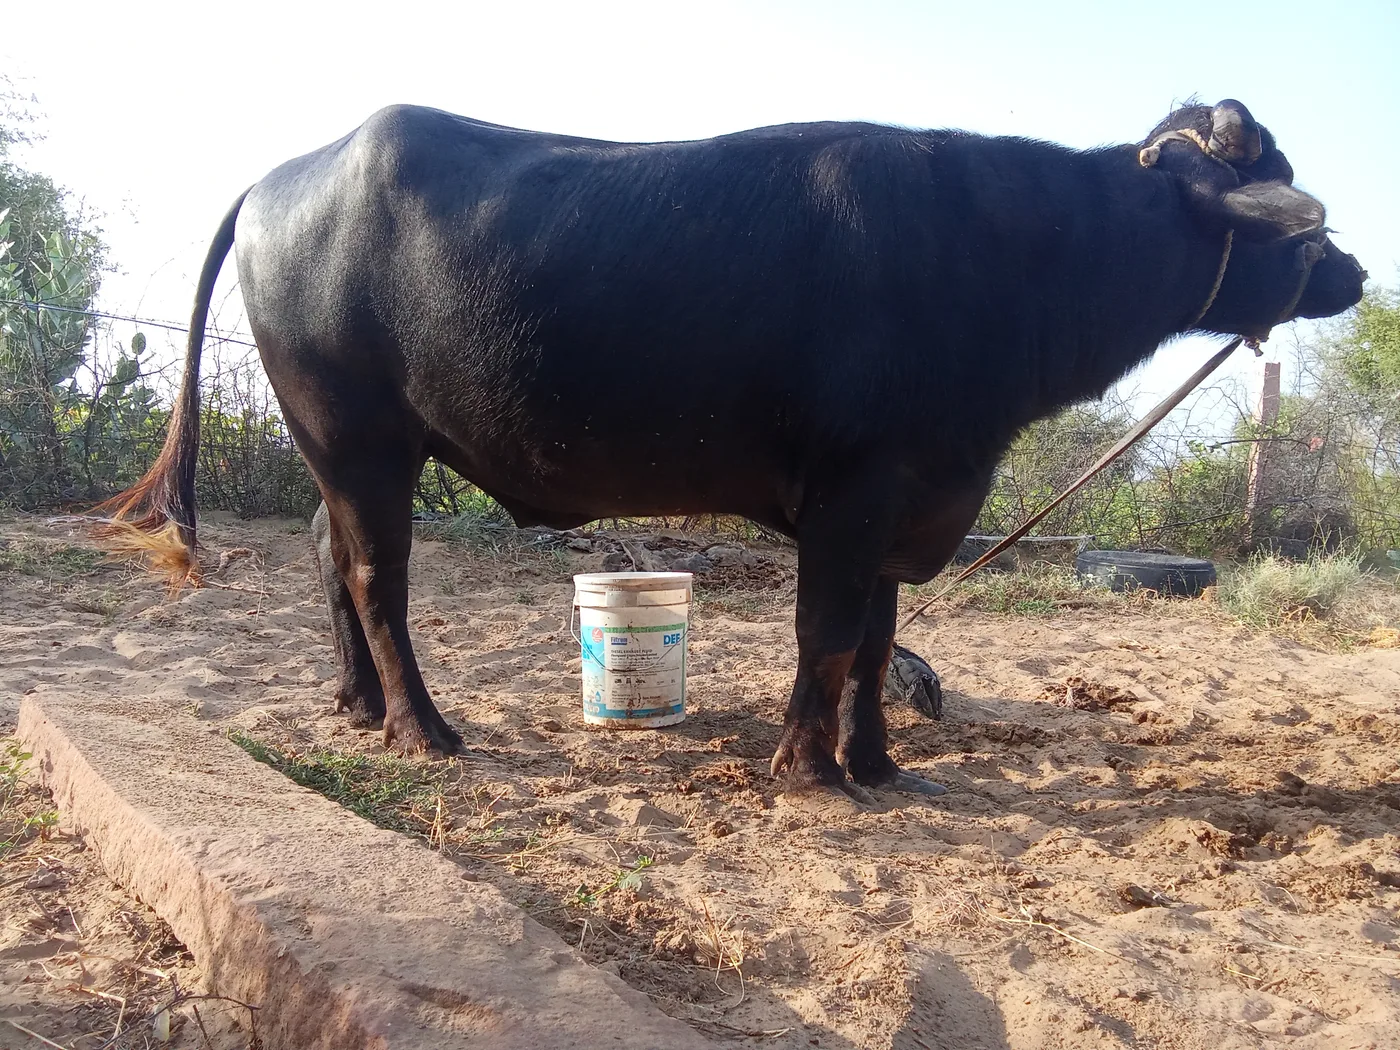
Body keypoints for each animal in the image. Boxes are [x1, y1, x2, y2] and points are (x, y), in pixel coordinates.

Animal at [104, 98, 1364, 799]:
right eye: (1272, 180)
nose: (1348, 269)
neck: (1004, 254)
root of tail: (281, 179)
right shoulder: (853, 495)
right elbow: (826, 635)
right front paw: (808, 770)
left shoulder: (905, 499)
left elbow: (875, 643)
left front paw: (875, 763)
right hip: (358, 437)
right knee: (375, 578)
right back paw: (425, 730)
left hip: (350, 452)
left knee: (329, 560)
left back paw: (357, 706)